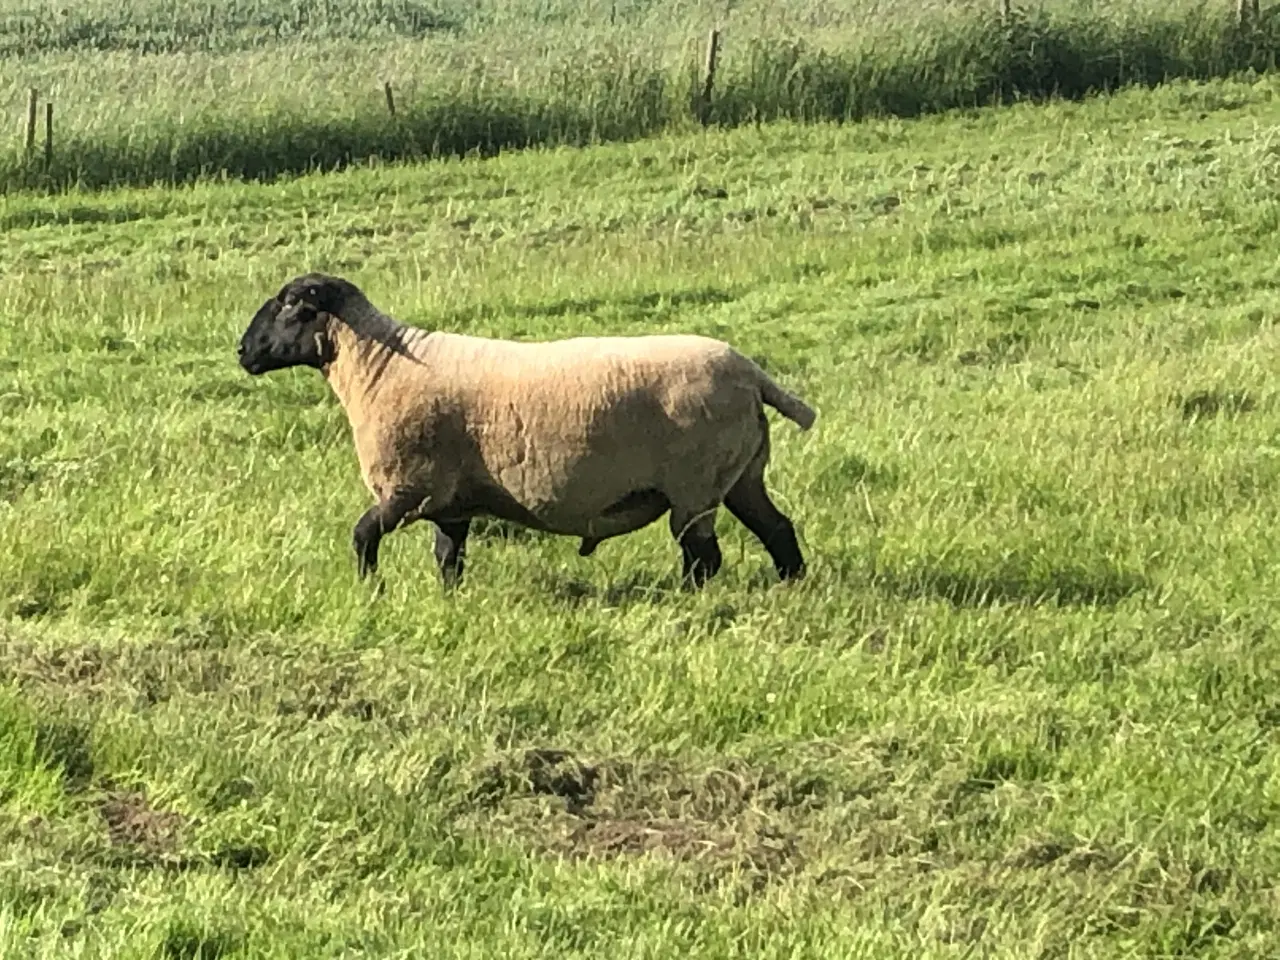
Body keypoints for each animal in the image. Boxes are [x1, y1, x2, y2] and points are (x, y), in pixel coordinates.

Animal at [238, 272, 819, 593]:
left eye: (288, 305)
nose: (242, 352)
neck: (379, 366)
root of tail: (751, 373)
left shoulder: (409, 488)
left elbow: (362, 536)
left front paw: (371, 590)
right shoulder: (449, 504)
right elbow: (448, 559)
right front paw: (449, 602)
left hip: (694, 486)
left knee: (703, 556)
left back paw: (690, 599)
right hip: (740, 475)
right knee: (778, 529)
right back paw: (792, 586)